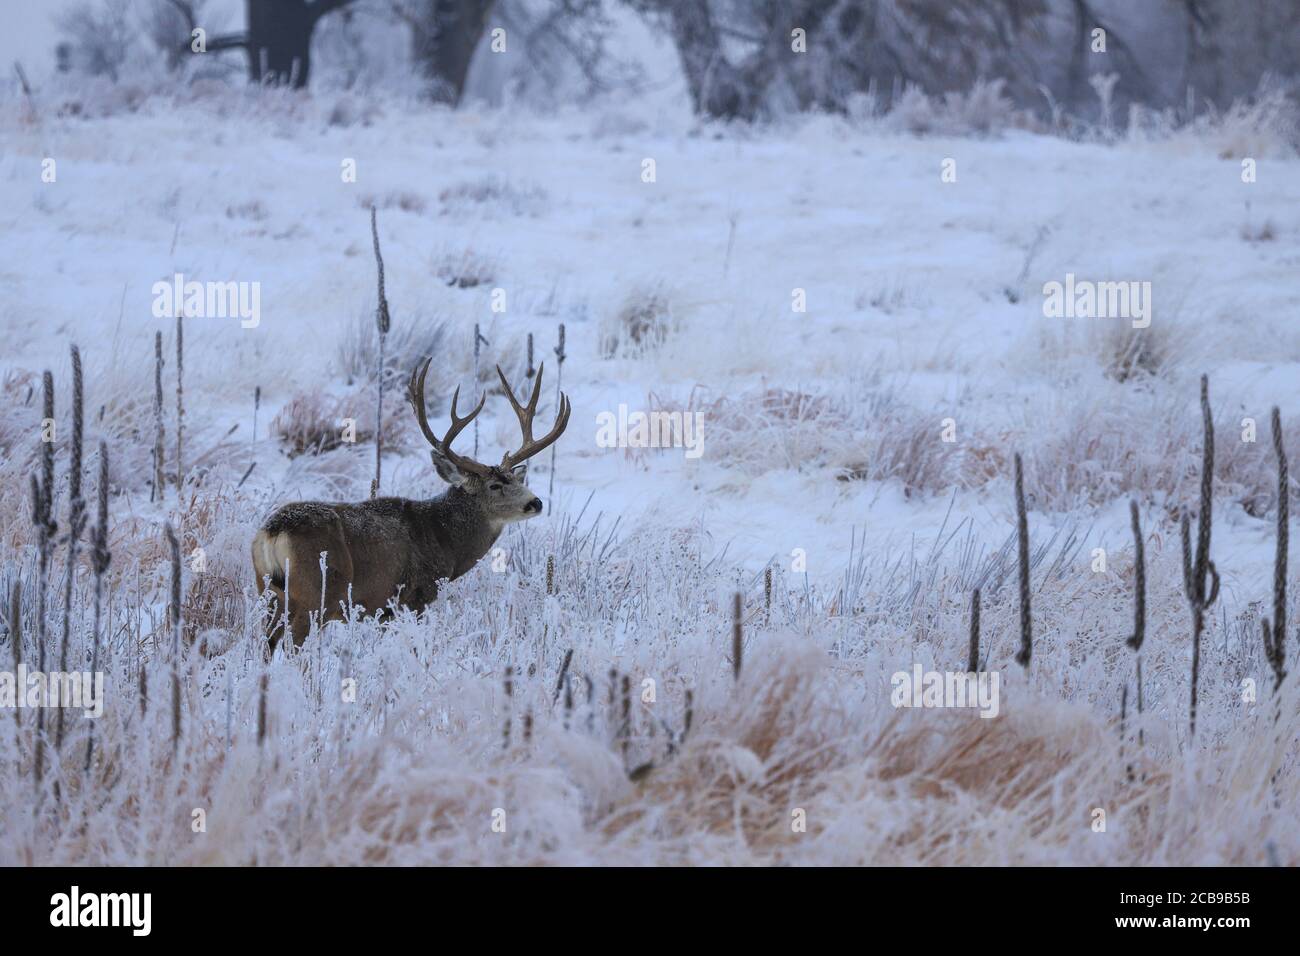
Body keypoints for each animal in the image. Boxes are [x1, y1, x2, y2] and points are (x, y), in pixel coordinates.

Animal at [251, 357, 571, 648]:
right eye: (495, 486)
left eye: (516, 479)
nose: (536, 502)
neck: (444, 538)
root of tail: (274, 531)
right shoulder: (413, 596)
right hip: (317, 593)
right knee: (291, 645)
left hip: (268, 592)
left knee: (266, 642)